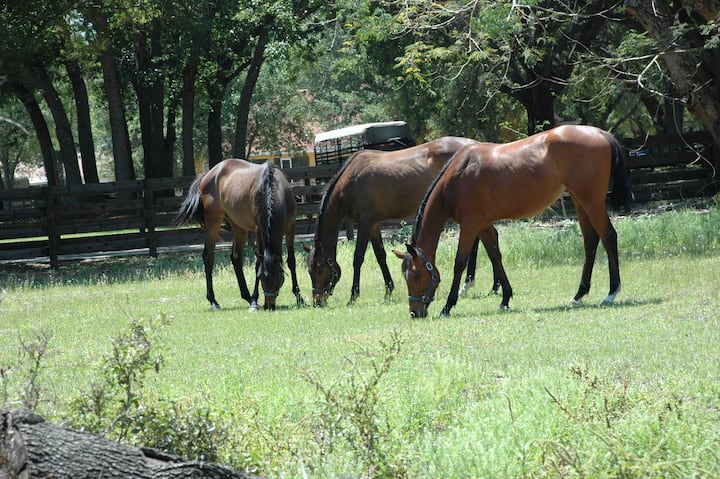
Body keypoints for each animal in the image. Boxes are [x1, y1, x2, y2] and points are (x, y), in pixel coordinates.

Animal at [179, 159, 306, 314]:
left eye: (279, 277)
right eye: (261, 277)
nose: (269, 306)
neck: (273, 188)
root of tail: (208, 174)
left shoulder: (290, 227)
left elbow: (291, 261)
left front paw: (299, 297)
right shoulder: (259, 229)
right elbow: (258, 263)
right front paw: (255, 300)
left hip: (239, 227)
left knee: (236, 258)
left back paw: (247, 296)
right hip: (213, 223)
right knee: (209, 257)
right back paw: (214, 301)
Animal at [306, 136, 506, 308]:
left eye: (318, 269)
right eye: (308, 270)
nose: (317, 301)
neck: (350, 180)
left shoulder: (365, 223)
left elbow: (358, 258)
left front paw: (353, 296)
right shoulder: (374, 224)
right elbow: (380, 256)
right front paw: (388, 290)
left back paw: (471, 285)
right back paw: (492, 286)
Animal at [394, 125, 636, 316]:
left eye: (415, 275)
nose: (415, 313)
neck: (458, 175)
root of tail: (600, 133)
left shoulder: (470, 224)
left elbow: (459, 262)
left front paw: (448, 305)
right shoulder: (483, 225)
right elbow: (495, 255)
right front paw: (505, 298)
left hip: (591, 201)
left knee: (608, 236)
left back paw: (611, 293)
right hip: (579, 200)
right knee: (590, 241)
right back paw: (579, 295)